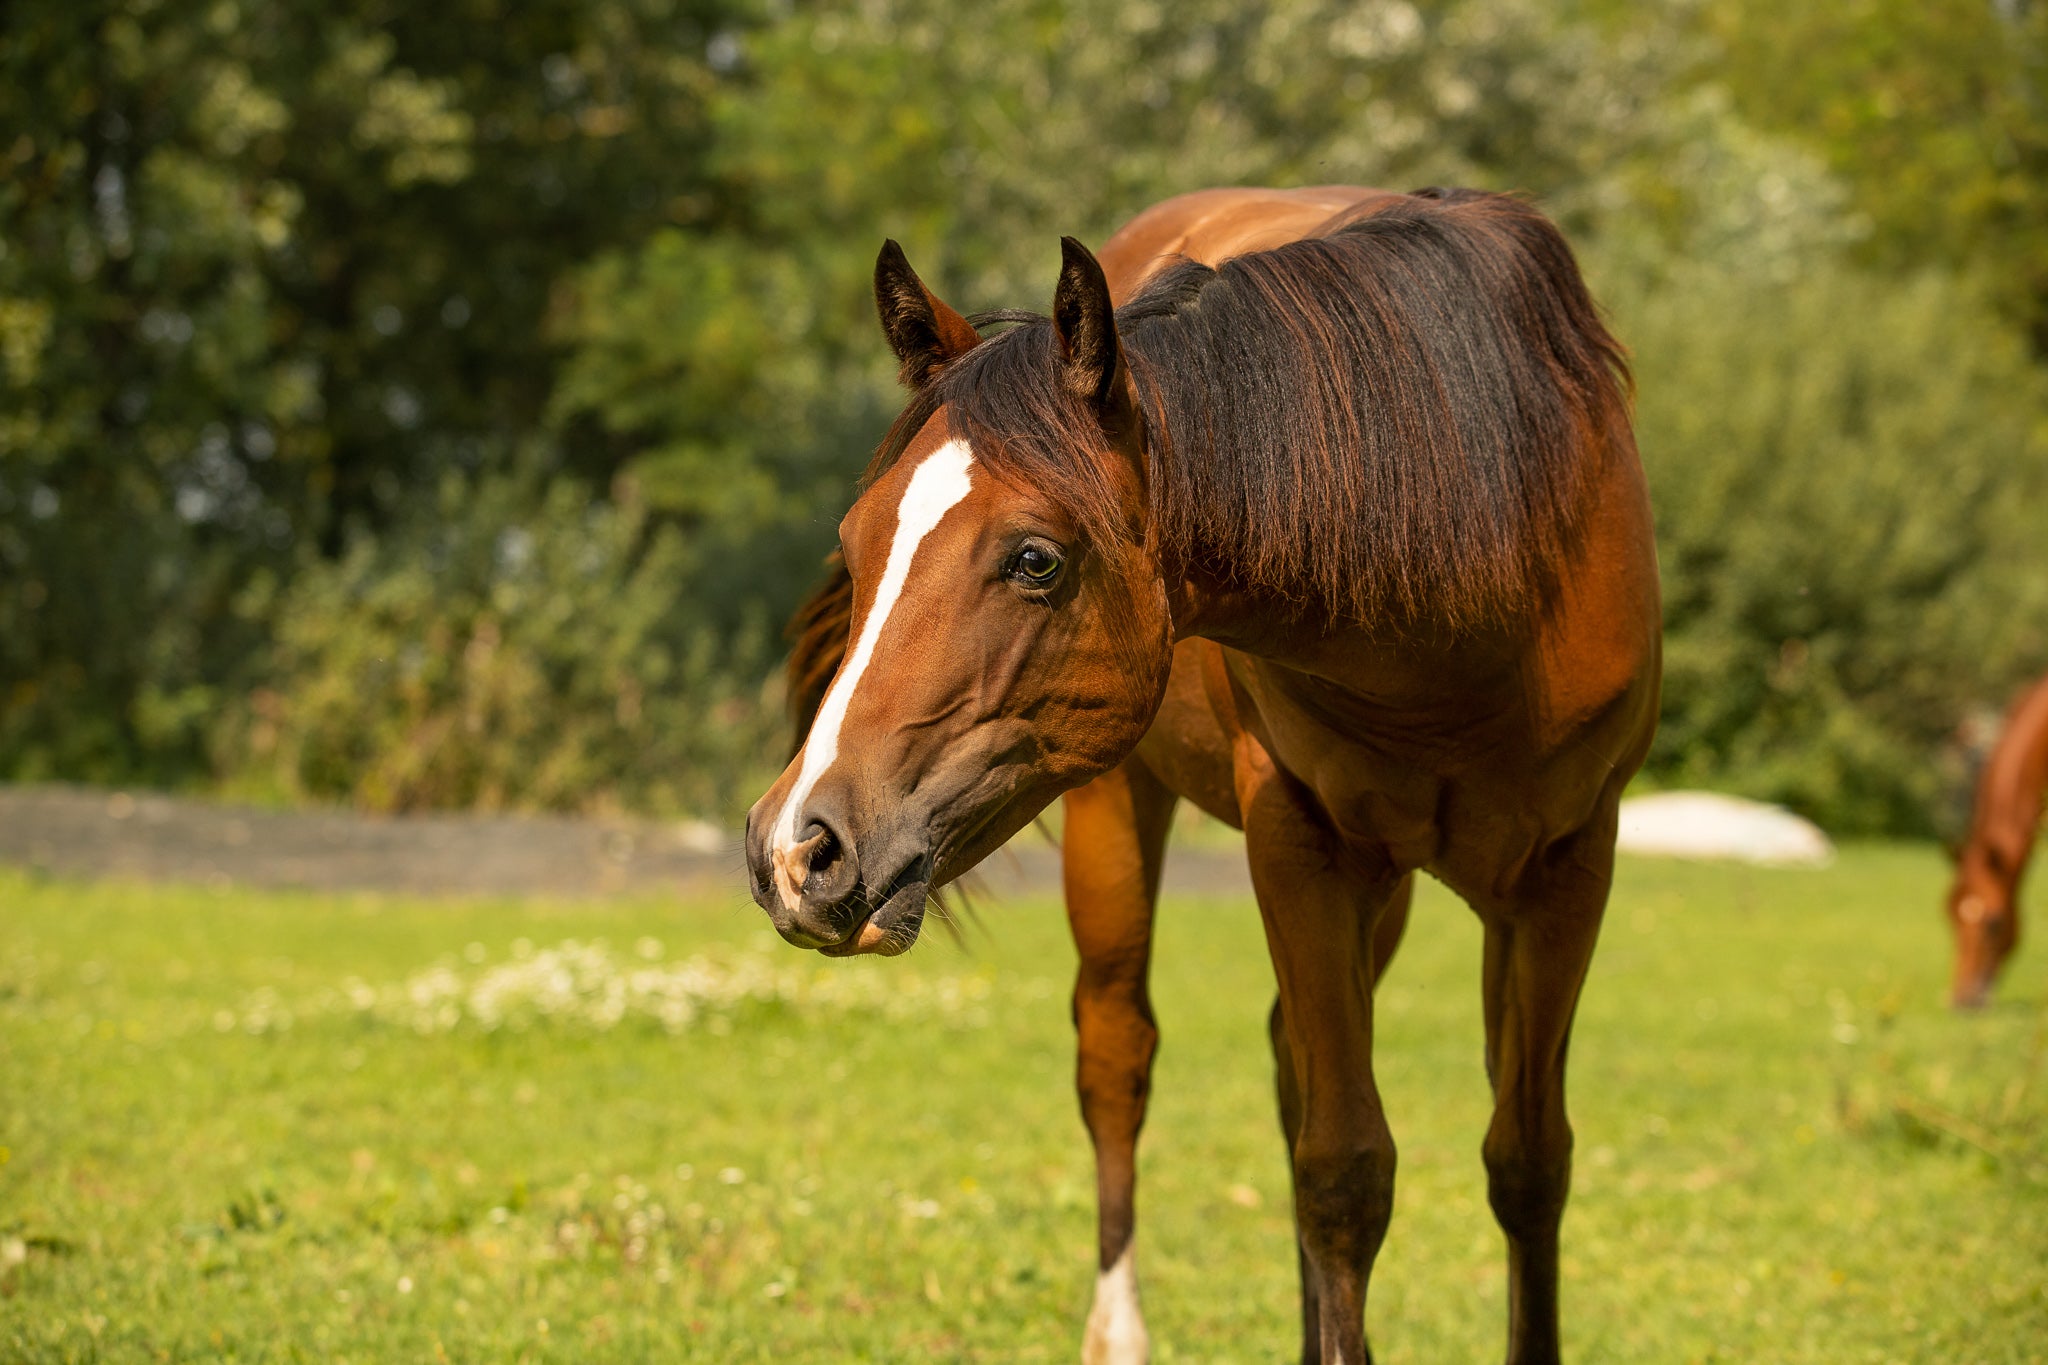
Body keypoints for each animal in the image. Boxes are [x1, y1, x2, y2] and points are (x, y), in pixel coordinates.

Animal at [745, 184, 1654, 1365]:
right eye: (856, 547)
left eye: (1035, 558)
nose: (797, 848)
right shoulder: (1301, 846)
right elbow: (1343, 1171)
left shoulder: (1567, 868)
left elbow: (1527, 1159)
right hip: (1116, 812)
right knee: (1118, 1055)